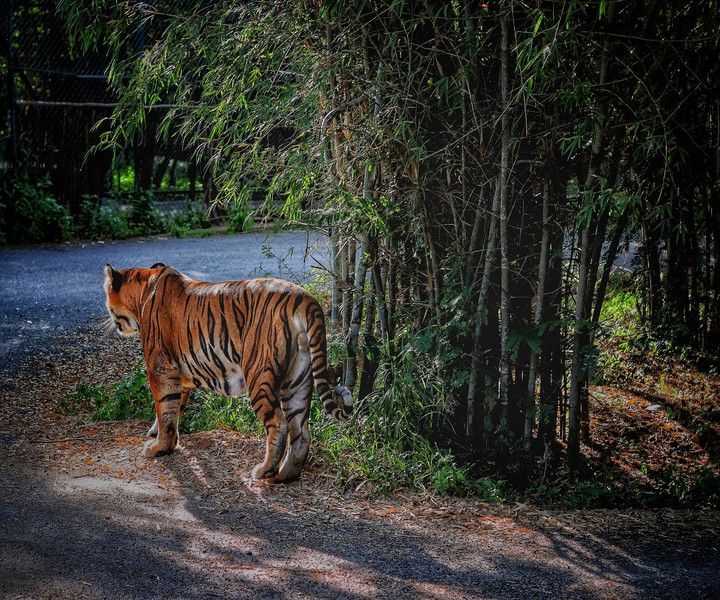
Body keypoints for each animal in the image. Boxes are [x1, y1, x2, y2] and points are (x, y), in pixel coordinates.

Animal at [103, 262, 352, 483]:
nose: (112, 321)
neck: (143, 291)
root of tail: (306, 298)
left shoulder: (160, 367)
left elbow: (164, 408)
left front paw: (159, 448)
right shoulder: (179, 377)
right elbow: (173, 410)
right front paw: (161, 437)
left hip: (259, 375)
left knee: (279, 425)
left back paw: (265, 470)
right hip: (297, 380)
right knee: (300, 430)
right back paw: (285, 475)